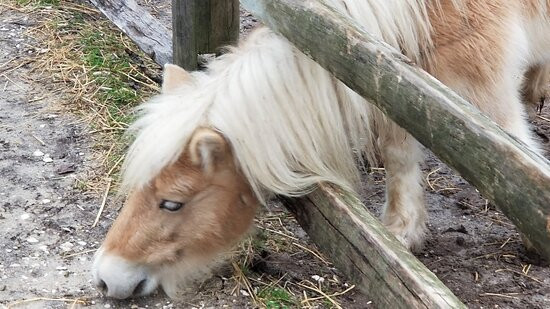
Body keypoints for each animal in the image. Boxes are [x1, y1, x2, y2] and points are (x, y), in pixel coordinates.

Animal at [92, 0, 548, 298]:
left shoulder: (484, 99)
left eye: (172, 203)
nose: (106, 277)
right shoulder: (399, 89)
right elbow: (399, 153)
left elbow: (516, 164)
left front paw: (535, 240)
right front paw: (403, 232)